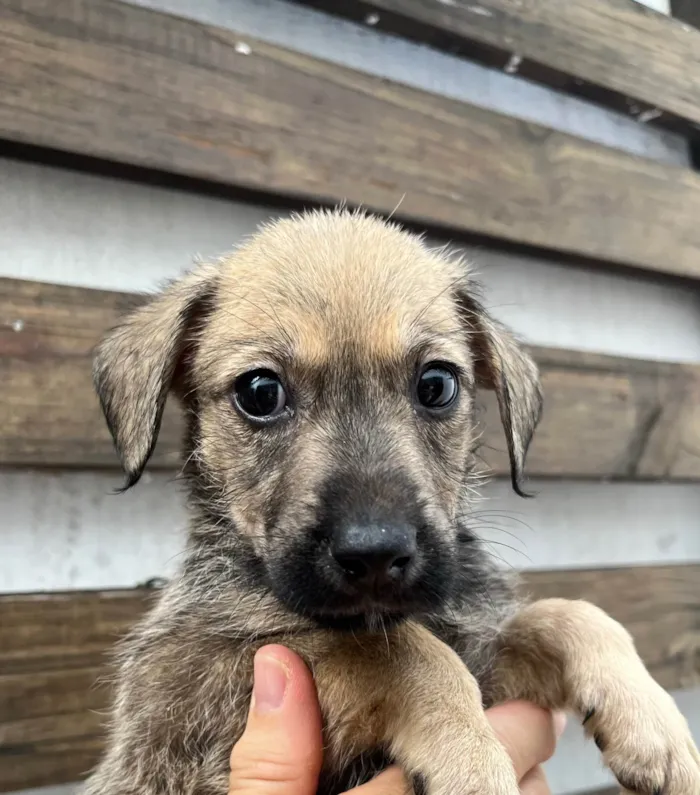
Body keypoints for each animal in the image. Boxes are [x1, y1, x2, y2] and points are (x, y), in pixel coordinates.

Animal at [87, 211, 700, 795]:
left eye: (436, 384)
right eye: (259, 392)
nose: (375, 554)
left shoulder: (487, 659)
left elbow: (567, 615)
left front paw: (655, 727)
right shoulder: (202, 685)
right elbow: (397, 649)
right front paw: (473, 765)